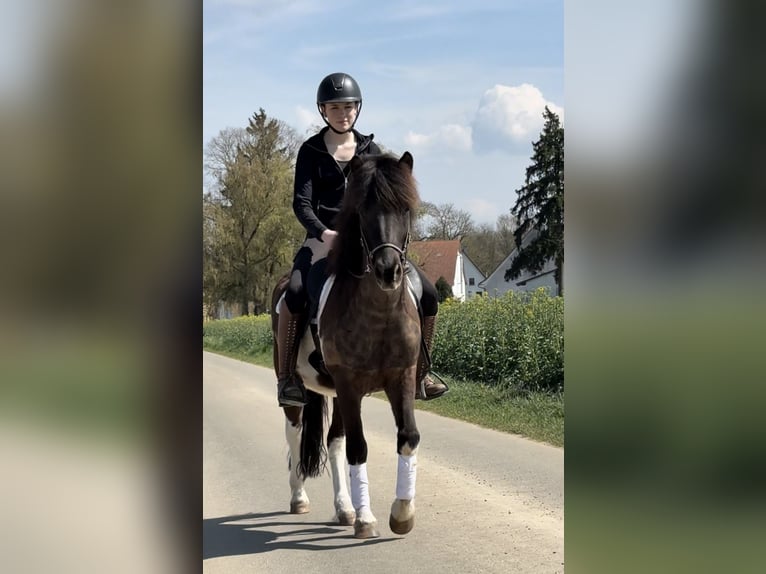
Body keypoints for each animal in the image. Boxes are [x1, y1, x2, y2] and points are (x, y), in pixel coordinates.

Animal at [271, 151, 423, 539]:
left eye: (405, 209)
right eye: (364, 211)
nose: (388, 271)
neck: (378, 314)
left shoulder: (401, 376)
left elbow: (408, 437)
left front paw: (401, 513)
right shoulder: (349, 383)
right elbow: (358, 447)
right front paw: (368, 519)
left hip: (337, 393)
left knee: (334, 442)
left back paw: (344, 507)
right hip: (302, 388)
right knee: (295, 434)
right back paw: (300, 498)